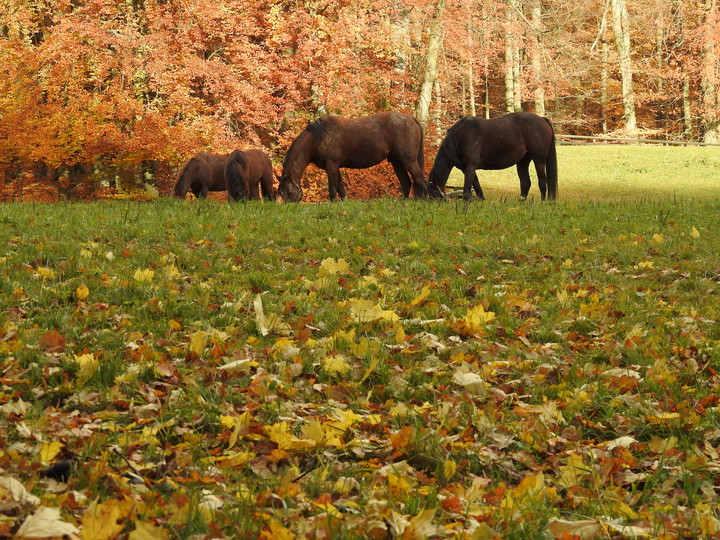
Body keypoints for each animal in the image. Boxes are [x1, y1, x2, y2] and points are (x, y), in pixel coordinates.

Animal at [276, 110, 428, 201]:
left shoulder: (331, 165)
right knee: (406, 183)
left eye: (288, 192)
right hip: (397, 162)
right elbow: (341, 188)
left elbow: (333, 189)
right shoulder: (334, 167)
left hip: (409, 161)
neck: (317, 139)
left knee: (420, 180)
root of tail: (412, 119)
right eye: (280, 193)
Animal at [428, 110, 556, 201]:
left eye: (433, 196)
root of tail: (542, 119)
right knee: (525, 183)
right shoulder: (467, 169)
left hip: (539, 160)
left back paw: (542, 202)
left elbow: (467, 190)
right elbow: (477, 187)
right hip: (522, 162)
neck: (460, 137)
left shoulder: (470, 167)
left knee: (542, 182)